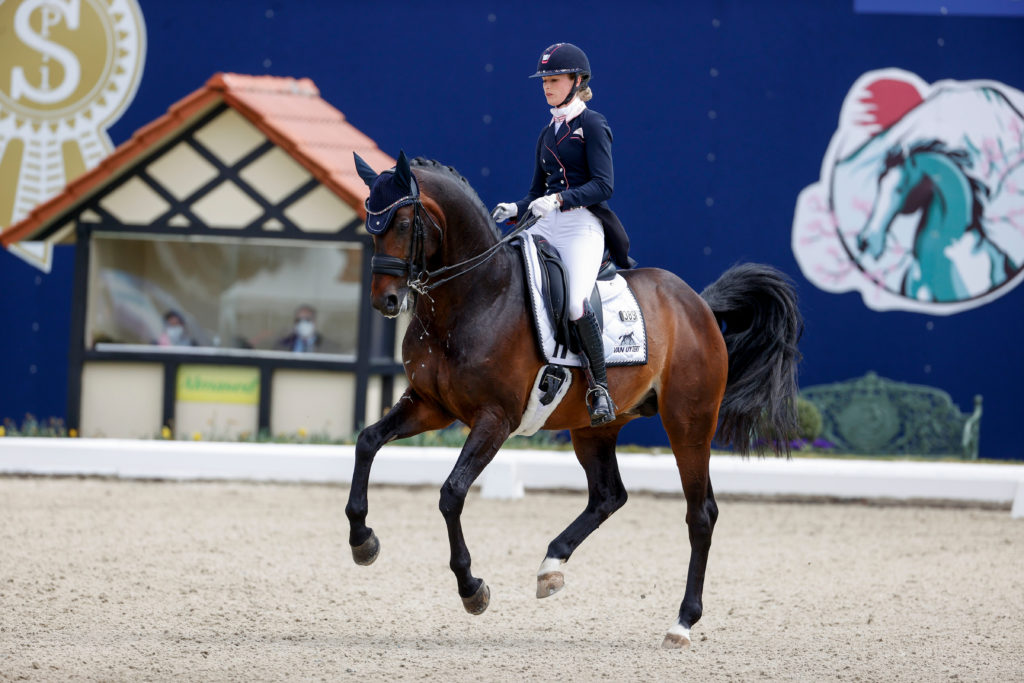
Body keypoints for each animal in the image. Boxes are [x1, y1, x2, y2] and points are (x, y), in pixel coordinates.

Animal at [344, 152, 798, 651]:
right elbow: (367, 441)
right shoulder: (430, 404)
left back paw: (682, 622)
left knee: (701, 514)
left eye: (405, 223)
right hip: (595, 427)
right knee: (608, 496)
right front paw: (362, 540)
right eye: (370, 223)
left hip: (689, 423)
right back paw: (551, 567)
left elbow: (452, 493)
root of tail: (696, 303)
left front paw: (471, 588)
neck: (474, 296)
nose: (386, 301)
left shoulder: (495, 419)